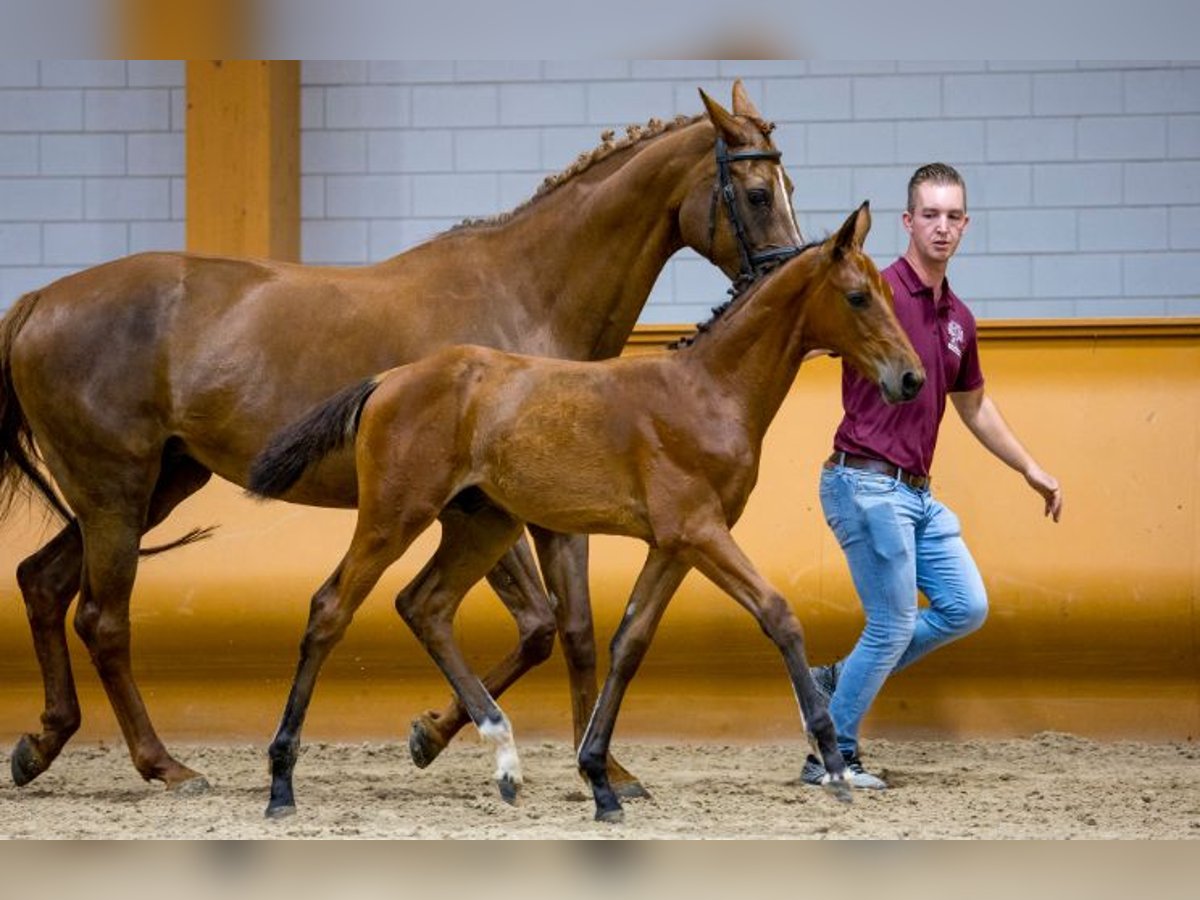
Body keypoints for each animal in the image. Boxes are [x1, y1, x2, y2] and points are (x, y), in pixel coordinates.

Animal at [4, 81, 806, 792]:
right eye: (757, 194)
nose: (788, 275)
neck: (527, 296)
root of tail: (41, 299)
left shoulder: (549, 511)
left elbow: (570, 628)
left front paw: (603, 768)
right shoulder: (485, 508)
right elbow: (532, 623)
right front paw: (443, 736)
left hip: (156, 487)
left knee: (43, 582)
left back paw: (41, 745)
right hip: (116, 492)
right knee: (103, 619)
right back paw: (164, 767)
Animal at [250, 204, 926, 825]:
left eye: (892, 294)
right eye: (858, 296)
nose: (912, 378)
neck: (708, 392)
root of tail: (389, 378)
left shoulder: (674, 545)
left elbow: (630, 641)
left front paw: (601, 779)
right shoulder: (699, 530)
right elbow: (778, 614)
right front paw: (833, 763)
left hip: (483, 524)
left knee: (425, 605)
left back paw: (502, 757)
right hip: (396, 516)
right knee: (332, 608)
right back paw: (282, 783)